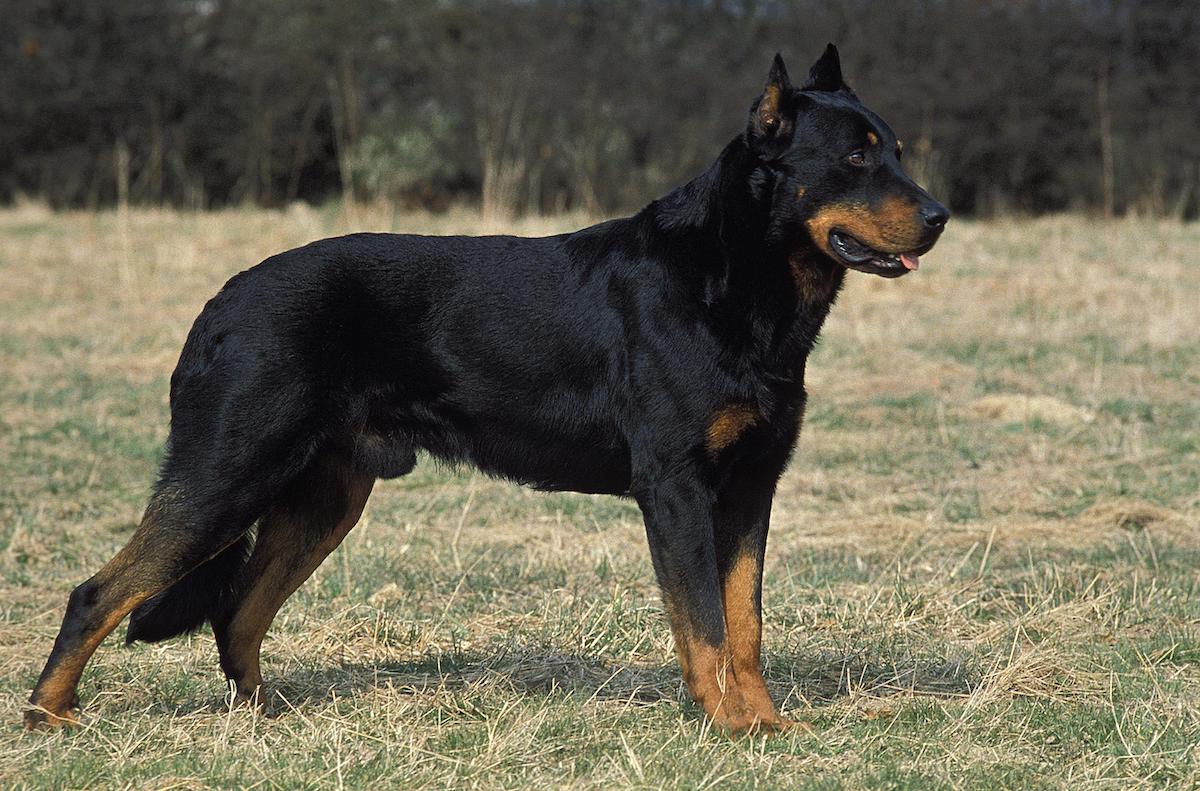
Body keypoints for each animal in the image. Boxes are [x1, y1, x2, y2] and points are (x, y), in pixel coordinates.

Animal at [25, 45, 945, 734]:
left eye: (896, 151)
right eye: (856, 157)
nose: (938, 216)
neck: (738, 277)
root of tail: (220, 304)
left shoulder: (751, 488)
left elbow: (745, 625)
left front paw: (763, 723)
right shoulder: (676, 487)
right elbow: (705, 626)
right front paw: (725, 724)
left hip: (323, 497)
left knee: (240, 611)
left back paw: (259, 718)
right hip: (228, 473)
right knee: (100, 592)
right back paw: (50, 715)